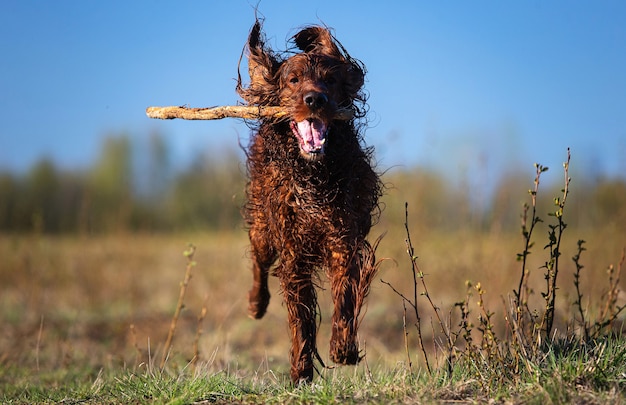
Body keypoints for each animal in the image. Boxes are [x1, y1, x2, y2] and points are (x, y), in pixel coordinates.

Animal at [235, 20, 378, 382]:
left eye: (330, 79)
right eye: (293, 80)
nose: (315, 99)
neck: (313, 175)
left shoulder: (343, 239)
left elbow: (345, 294)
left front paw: (343, 347)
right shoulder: (292, 249)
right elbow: (299, 315)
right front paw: (301, 369)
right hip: (262, 226)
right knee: (258, 261)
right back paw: (255, 304)